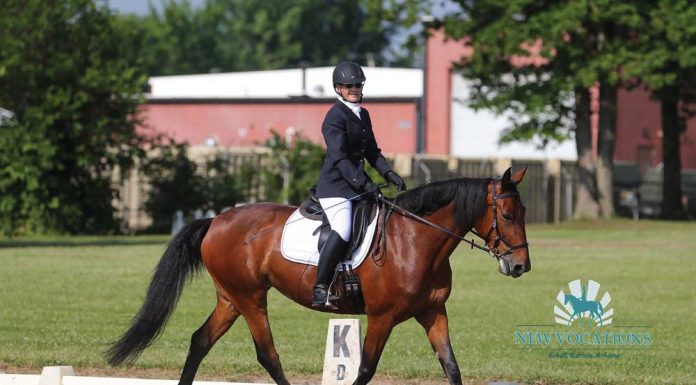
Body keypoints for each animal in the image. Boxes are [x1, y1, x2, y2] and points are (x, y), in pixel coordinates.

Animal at [106, 166, 532, 384]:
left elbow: (451, 367)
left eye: (523, 213)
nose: (520, 266)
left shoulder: (433, 312)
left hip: (230, 298)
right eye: (507, 214)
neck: (415, 240)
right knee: (267, 354)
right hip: (250, 298)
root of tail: (216, 221)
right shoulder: (382, 317)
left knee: (200, 342)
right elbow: (364, 370)